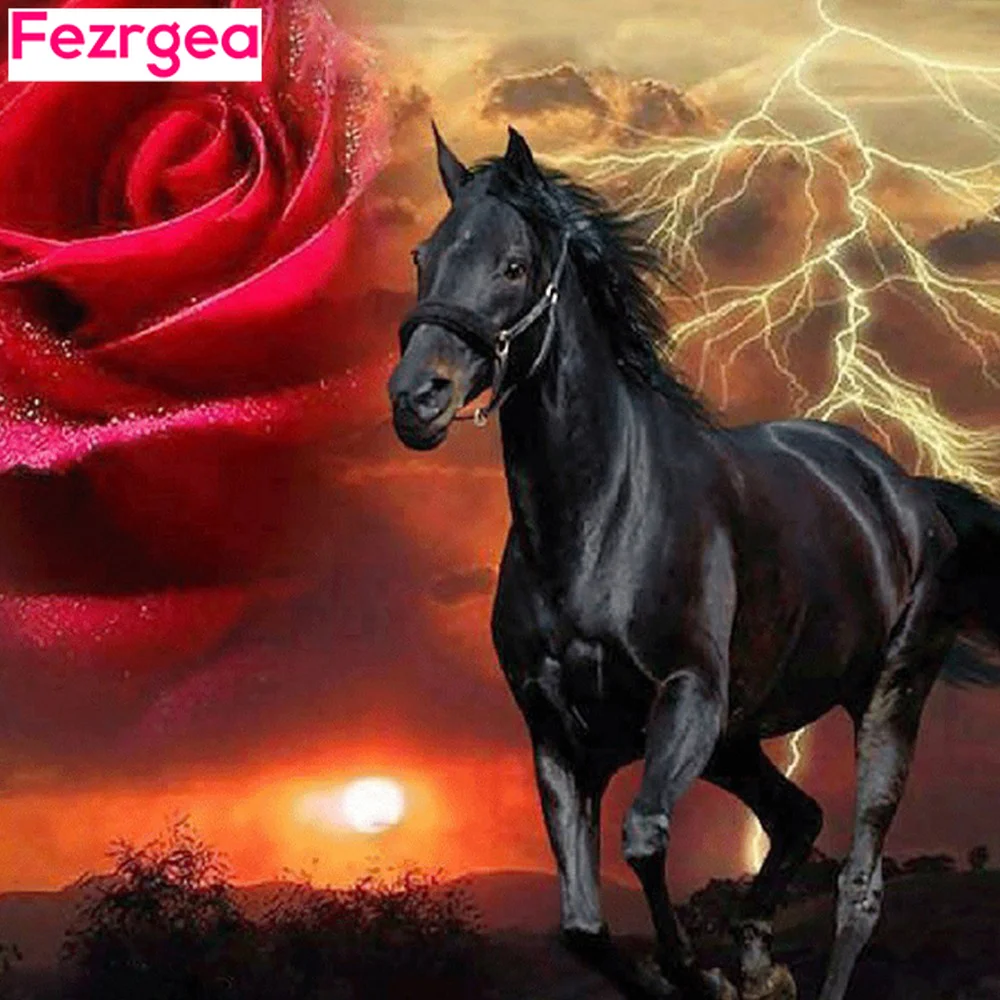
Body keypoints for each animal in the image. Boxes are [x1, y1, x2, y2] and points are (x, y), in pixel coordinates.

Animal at [387, 124, 1000, 1000]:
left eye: (513, 265)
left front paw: (700, 972)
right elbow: (582, 928)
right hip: (739, 740)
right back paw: (757, 958)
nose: (416, 398)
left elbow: (644, 837)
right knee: (797, 817)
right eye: (423, 254)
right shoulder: (558, 737)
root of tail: (908, 492)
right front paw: (721, 974)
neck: (596, 524)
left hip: (885, 697)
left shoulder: (687, 698)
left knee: (858, 885)